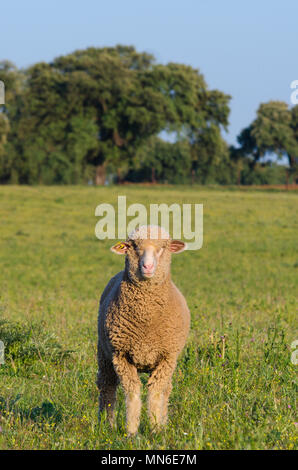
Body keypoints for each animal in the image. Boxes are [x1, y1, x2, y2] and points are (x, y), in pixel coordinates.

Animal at [96, 226, 190, 436]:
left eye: (163, 248)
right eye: (133, 247)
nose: (147, 267)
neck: (146, 320)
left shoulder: (166, 357)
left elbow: (156, 393)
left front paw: (156, 429)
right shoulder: (121, 356)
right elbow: (132, 394)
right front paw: (131, 432)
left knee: (166, 389)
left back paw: (163, 422)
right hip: (104, 354)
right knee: (107, 387)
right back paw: (106, 425)